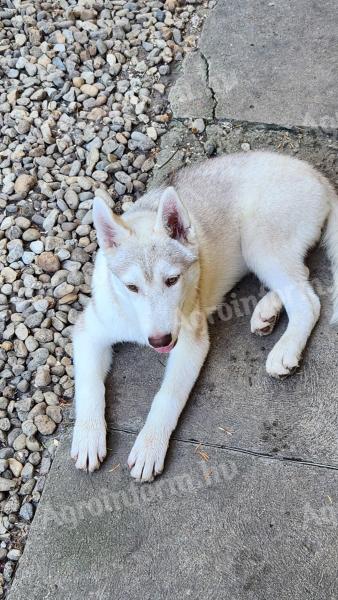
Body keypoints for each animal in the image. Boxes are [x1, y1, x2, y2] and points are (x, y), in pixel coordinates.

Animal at [71, 151, 338, 482]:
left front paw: (149, 446)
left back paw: (285, 349)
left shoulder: (191, 341)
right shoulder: (88, 331)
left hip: (258, 242)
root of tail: (317, 175)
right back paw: (267, 312)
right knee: (300, 276)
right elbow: (89, 386)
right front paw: (88, 436)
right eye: (131, 287)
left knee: (307, 299)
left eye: (172, 280)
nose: (159, 340)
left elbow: (167, 396)